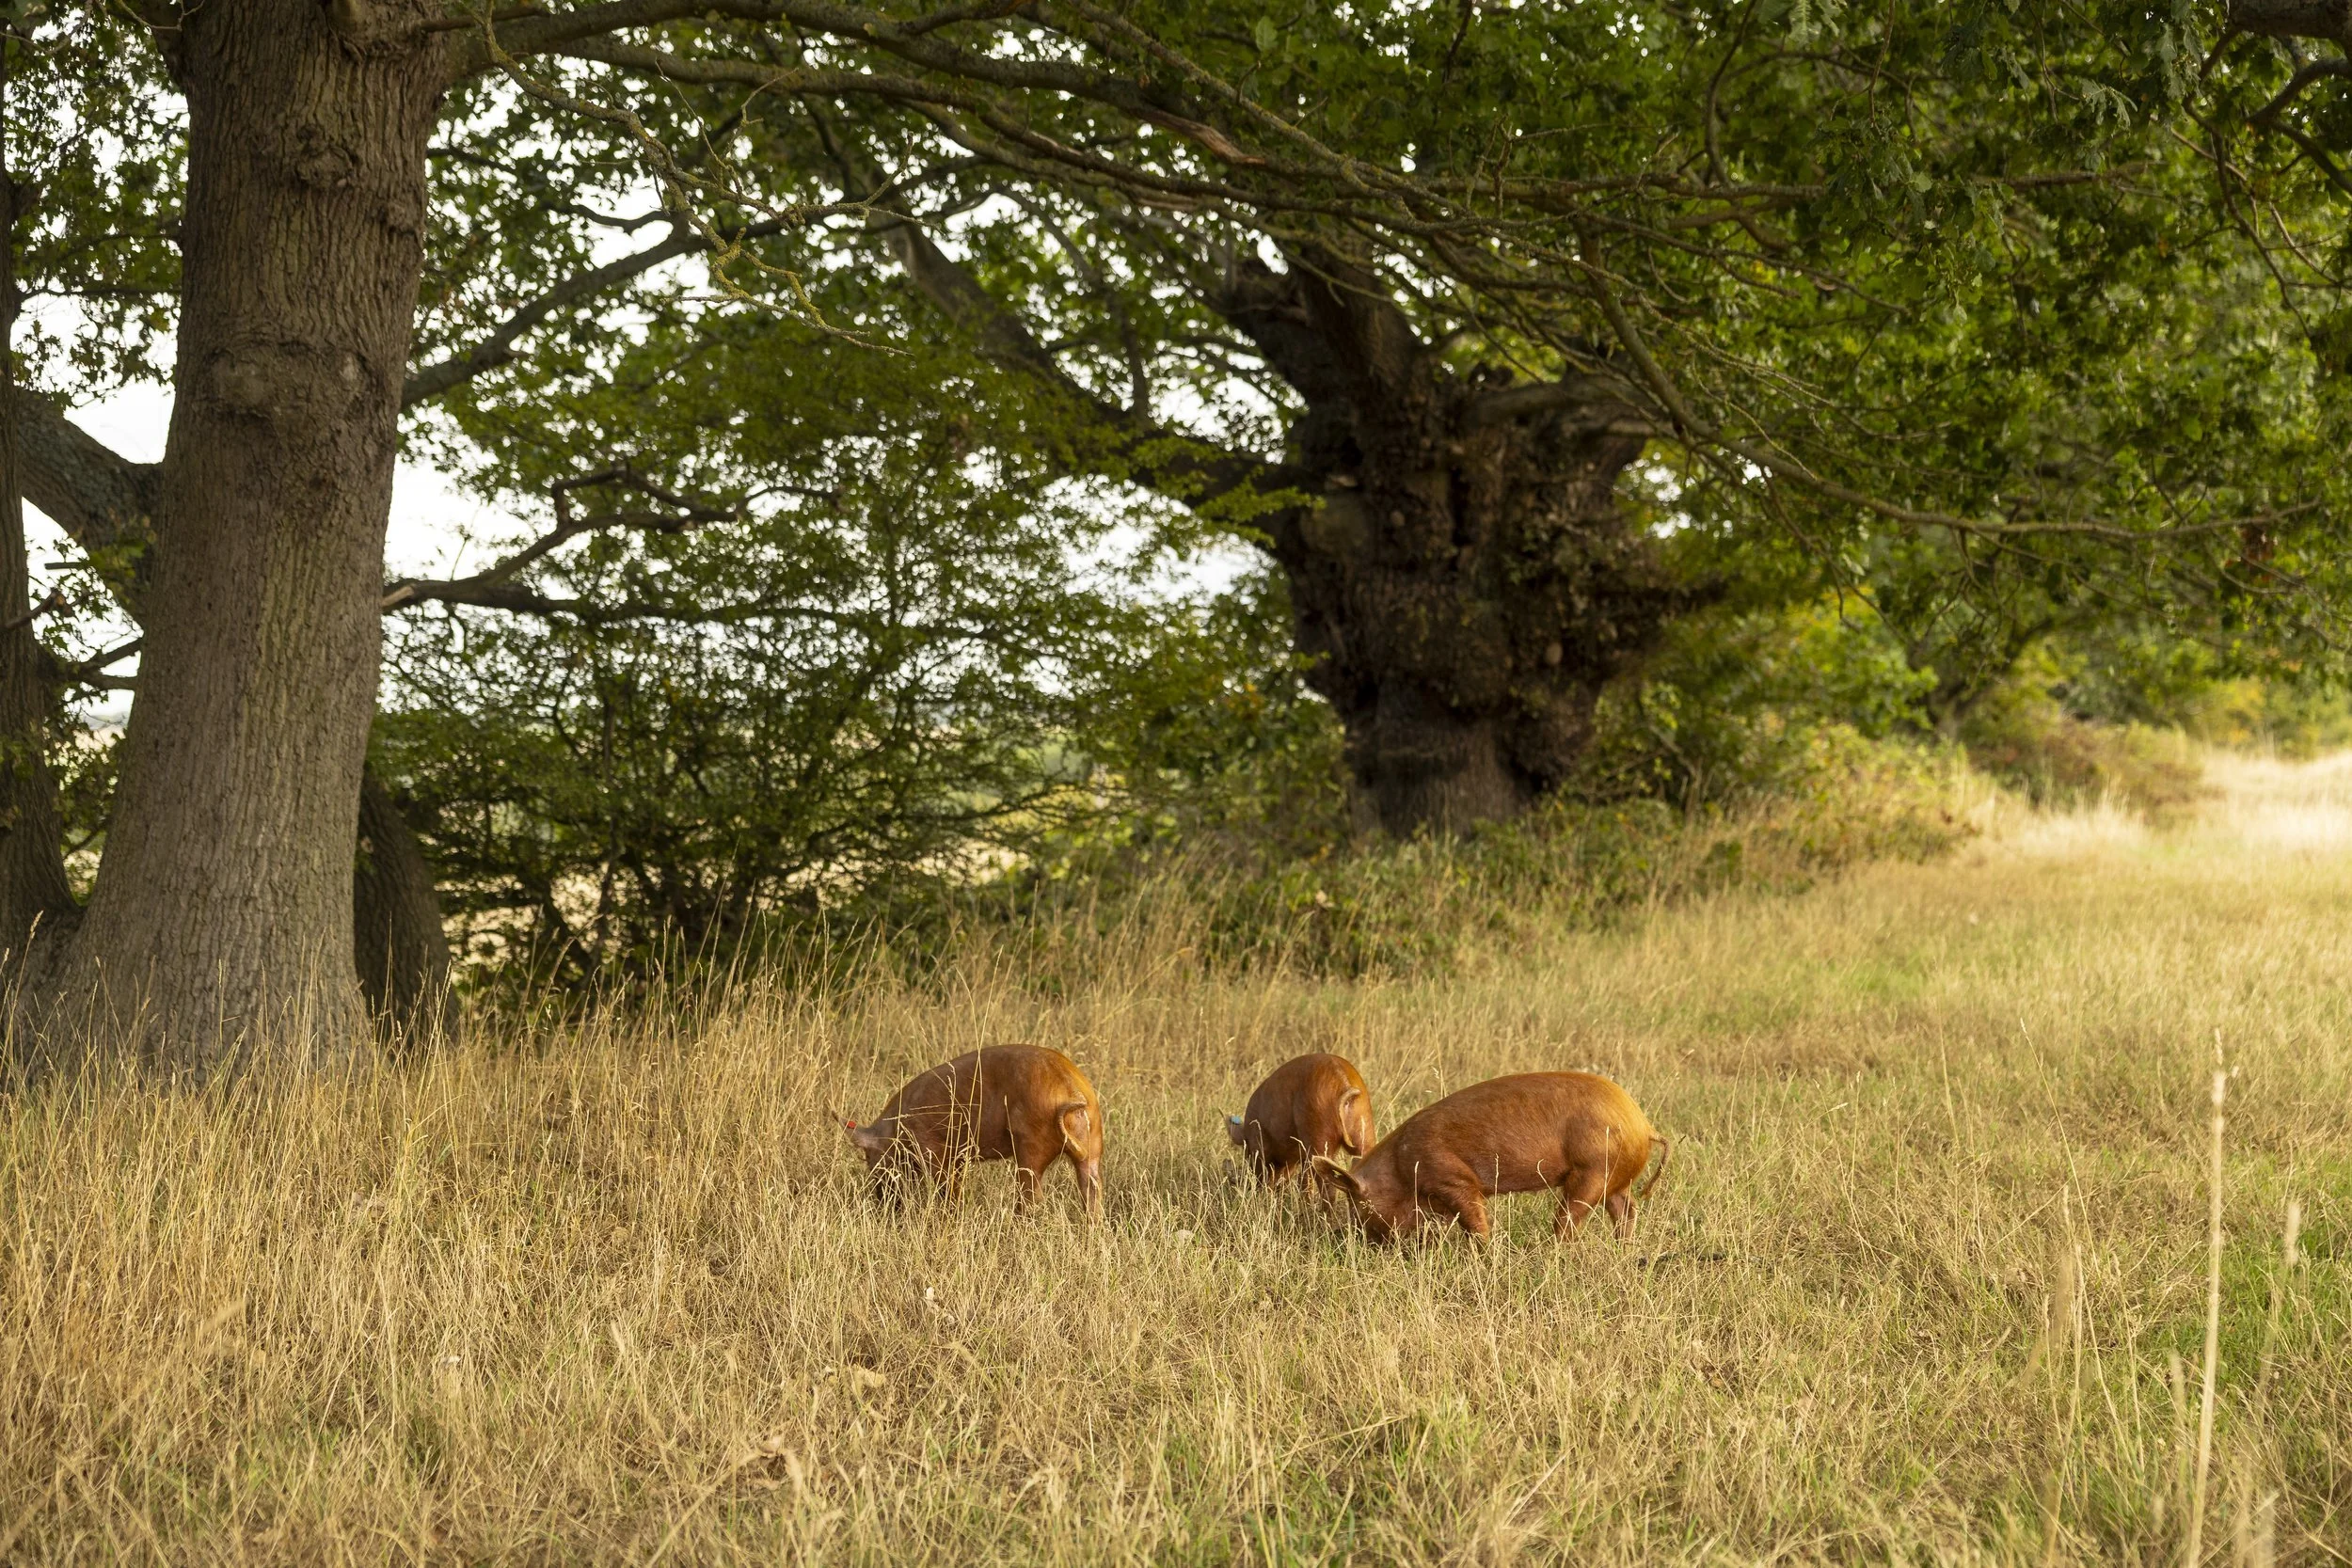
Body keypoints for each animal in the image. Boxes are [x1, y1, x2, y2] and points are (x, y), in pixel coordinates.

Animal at [844, 1043, 1103, 1215]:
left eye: (870, 1158)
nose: (882, 1203)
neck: (897, 1130)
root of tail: (1072, 1090)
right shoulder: (958, 1156)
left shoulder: (933, 1149)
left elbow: (947, 1188)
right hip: (1093, 1142)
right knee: (1092, 1189)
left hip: (1032, 1143)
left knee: (1031, 1195)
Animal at [1310, 1071, 1668, 1243]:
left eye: (1358, 1205)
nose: (1356, 1240)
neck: (1400, 1167)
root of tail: (1643, 1124)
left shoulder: (1453, 1179)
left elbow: (1475, 1221)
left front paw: (1482, 1253)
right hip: (1614, 1177)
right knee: (1626, 1209)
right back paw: (1623, 1249)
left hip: (1592, 1170)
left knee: (1571, 1219)